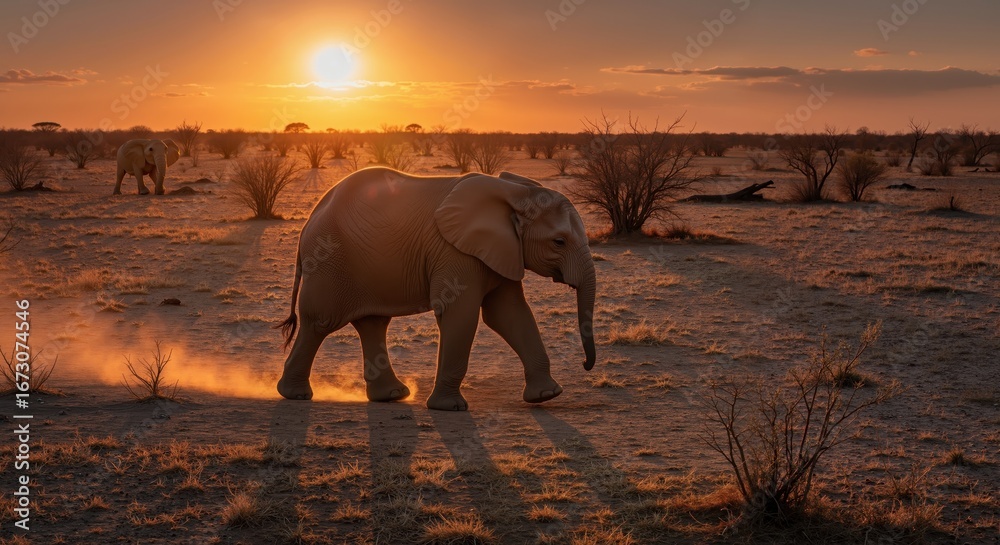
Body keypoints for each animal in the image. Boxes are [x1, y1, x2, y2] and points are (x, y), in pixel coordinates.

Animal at [276, 167, 597, 411]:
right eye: (559, 242)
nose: (585, 364)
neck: (514, 191)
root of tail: (310, 219)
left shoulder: (502, 250)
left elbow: (510, 314)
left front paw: (547, 395)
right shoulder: (455, 252)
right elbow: (461, 314)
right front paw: (450, 407)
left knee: (373, 323)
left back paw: (392, 396)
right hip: (329, 261)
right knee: (320, 322)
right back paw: (295, 395)